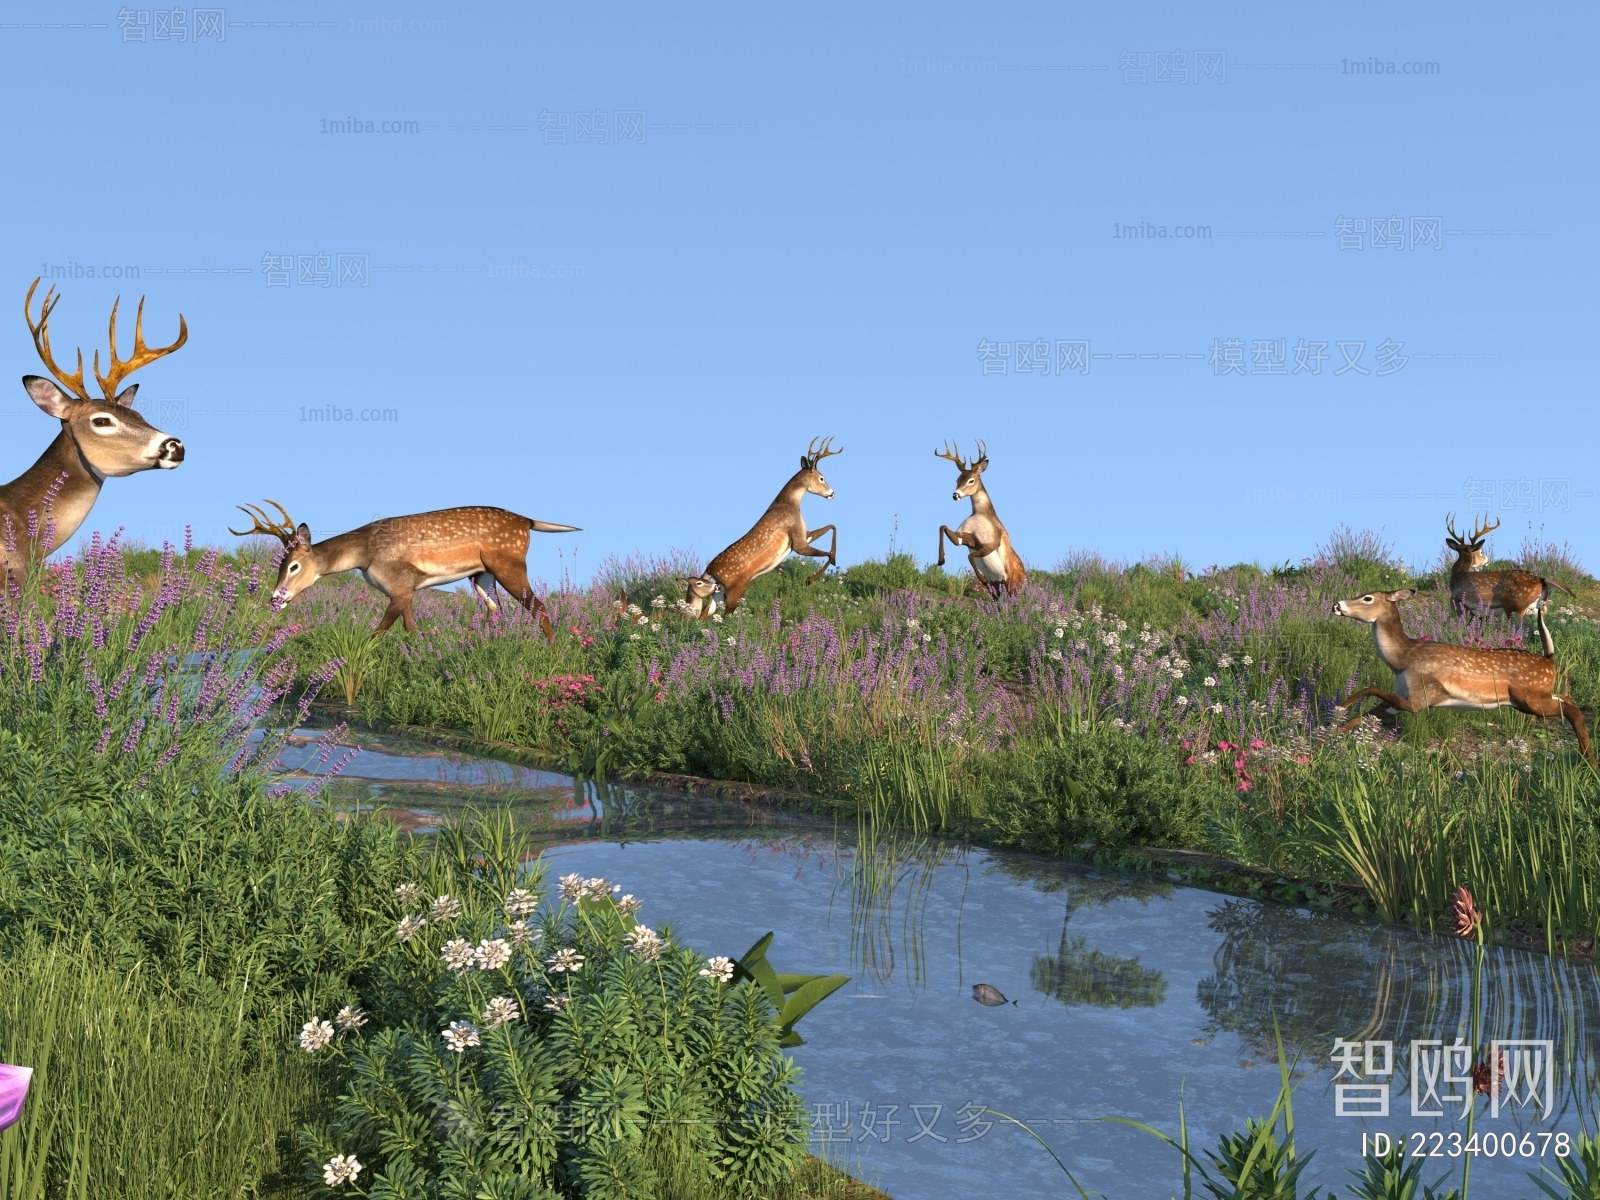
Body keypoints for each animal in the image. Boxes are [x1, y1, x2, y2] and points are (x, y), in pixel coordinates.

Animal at [233, 499, 585, 643]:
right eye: (280, 563)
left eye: (294, 565)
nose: (276, 597)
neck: (364, 554)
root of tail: (527, 521)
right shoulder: (407, 590)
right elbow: (411, 629)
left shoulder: (400, 586)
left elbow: (378, 632)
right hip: (481, 574)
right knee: (496, 610)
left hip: (509, 564)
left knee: (539, 607)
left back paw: (553, 650)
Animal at [681, 435, 844, 620]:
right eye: (821, 477)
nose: (832, 493)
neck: (791, 504)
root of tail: (709, 568)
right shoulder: (798, 543)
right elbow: (828, 551)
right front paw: (811, 579)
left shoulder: (804, 535)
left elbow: (832, 526)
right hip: (736, 589)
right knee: (725, 616)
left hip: (719, 590)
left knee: (705, 615)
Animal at [1331, 588, 1593, 761]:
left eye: (1367, 597)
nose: (1336, 605)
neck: (1402, 660)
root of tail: (1549, 660)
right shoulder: (1400, 698)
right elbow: (1362, 716)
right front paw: (1329, 737)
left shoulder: (1420, 698)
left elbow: (1370, 689)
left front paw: (1344, 704)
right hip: (1532, 698)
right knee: (1568, 700)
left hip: (1531, 699)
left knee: (1573, 709)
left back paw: (1589, 759)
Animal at [1440, 512, 1574, 620]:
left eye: (1481, 551)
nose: (1486, 561)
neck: (1455, 579)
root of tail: (1542, 579)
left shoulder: (1460, 606)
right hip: (1538, 607)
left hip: (1515, 605)